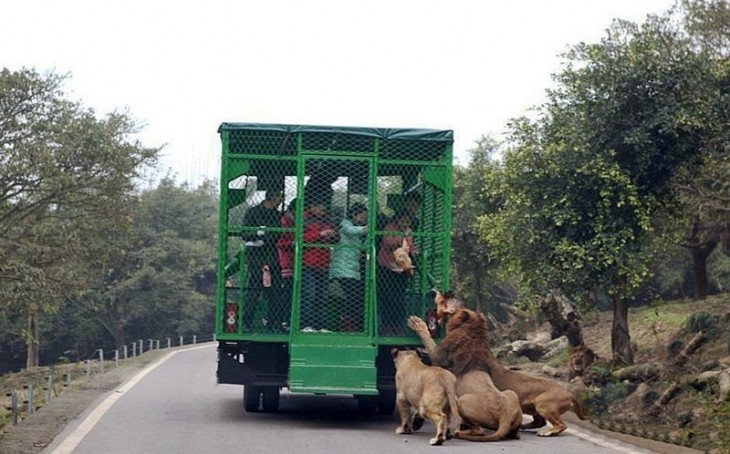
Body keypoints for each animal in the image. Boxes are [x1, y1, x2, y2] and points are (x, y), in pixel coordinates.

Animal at [410, 290, 584, 436]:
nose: (453, 295)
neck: (475, 335)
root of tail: (570, 393)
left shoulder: (438, 356)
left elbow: (428, 339)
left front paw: (417, 323)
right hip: (534, 408)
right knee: (538, 422)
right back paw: (524, 427)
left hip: (543, 405)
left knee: (560, 425)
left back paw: (546, 432)